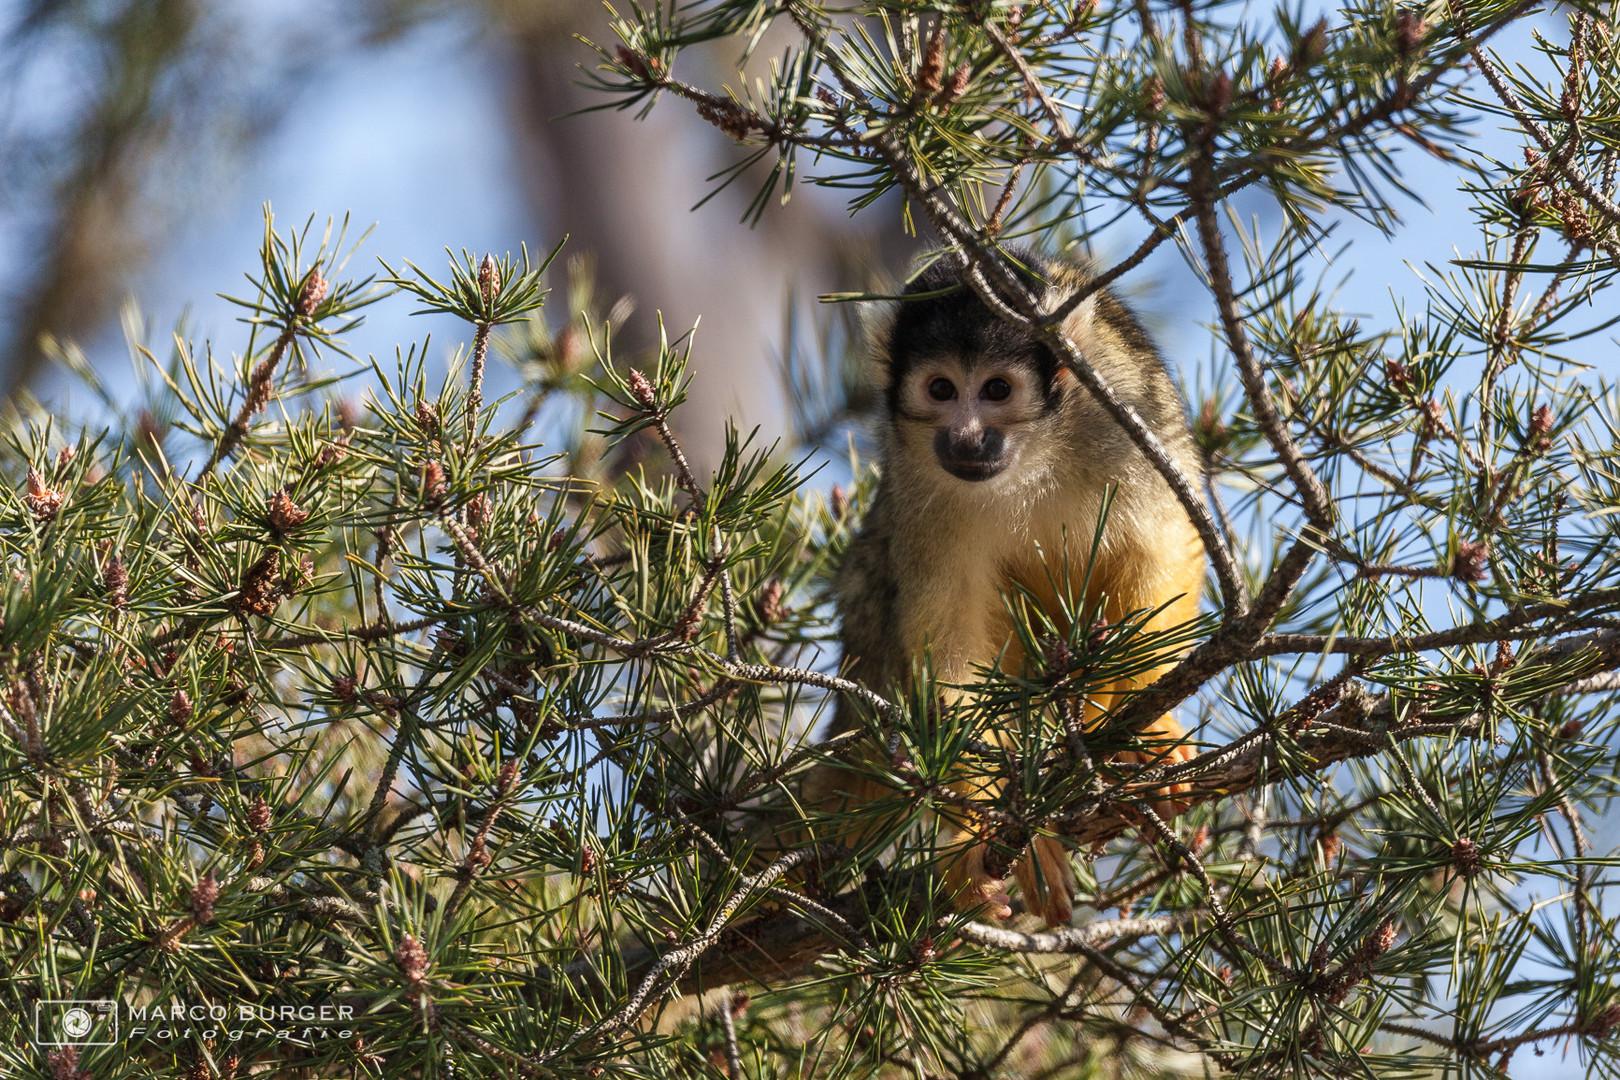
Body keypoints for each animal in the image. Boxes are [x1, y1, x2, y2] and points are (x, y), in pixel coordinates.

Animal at [822, 250, 1205, 932]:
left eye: (997, 390)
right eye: (941, 389)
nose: (969, 439)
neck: (1034, 454)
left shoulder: (1126, 412)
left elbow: (1165, 545)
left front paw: (1147, 731)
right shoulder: (917, 483)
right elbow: (952, 645)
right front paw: (979, 836)